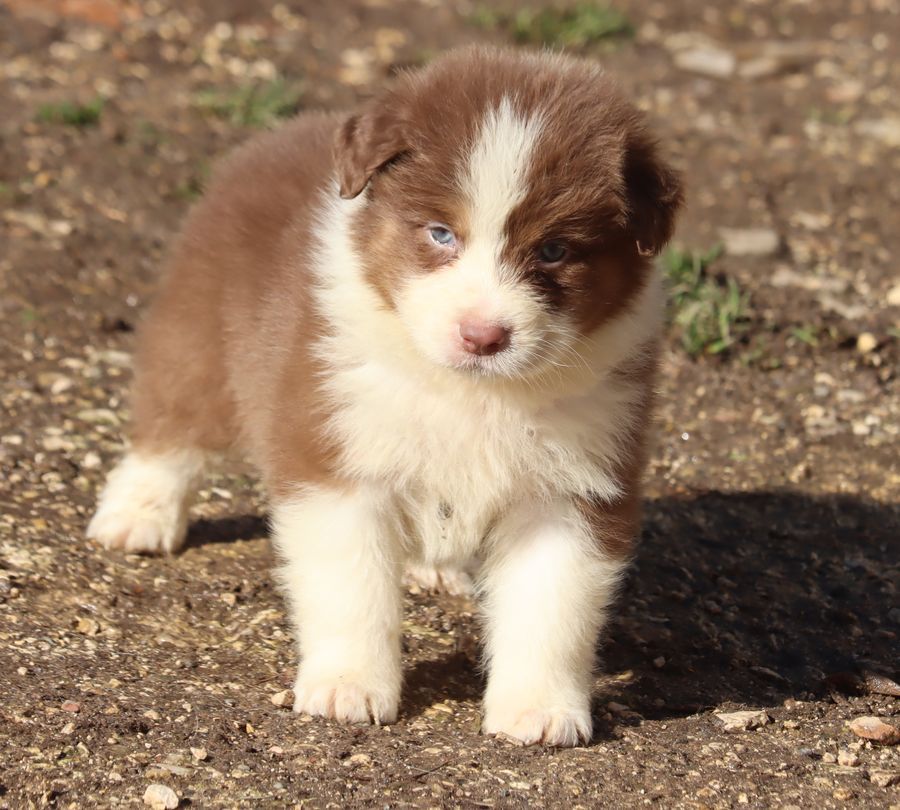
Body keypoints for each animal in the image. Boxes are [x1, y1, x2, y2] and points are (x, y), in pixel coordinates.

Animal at [89, 45, 684, 744]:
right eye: (440, 233)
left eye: (555, 249)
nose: (483, 335)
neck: (473, 392)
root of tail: (281, 133)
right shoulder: (337, 456)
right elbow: (352, 587)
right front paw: (347, 688)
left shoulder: (575, 482)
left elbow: (551, 603)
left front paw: (538, 711)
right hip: (199, 328)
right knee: (171, 425)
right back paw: (137, 516)